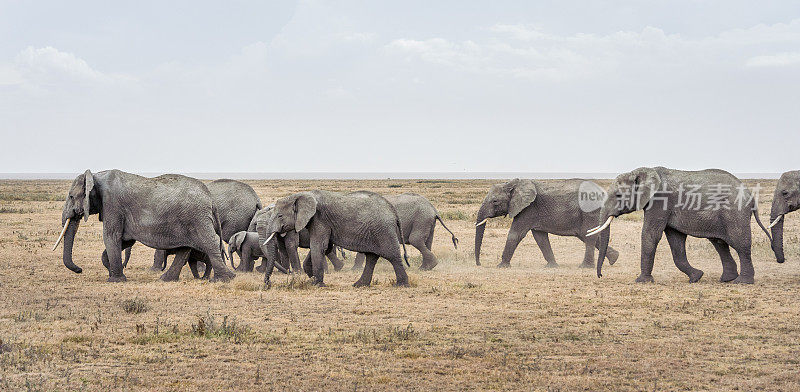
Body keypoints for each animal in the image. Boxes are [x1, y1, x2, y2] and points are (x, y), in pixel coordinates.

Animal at [52, 168, 234, 282]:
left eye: (71, 196)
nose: (80, 269)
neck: (96, 175)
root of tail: (210, 198)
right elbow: (125, 241)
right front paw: (112, 270)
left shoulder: (112, 204)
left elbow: (111, 236)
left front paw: (115, 280)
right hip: (189, 219)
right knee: (184, 248)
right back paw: (166, 280)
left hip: (197, 217)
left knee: (208, 242)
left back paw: (223, 280)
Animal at [262, 191, 410, 286]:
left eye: (280, 216)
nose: (267, 284)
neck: (301, 195)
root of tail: (393, 210)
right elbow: (325, 248)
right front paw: (311, 276)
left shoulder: (319, 219)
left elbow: (318, 246)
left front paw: (317, 284)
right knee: (371, 257)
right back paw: (359, 285)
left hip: (383, 231)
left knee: (392, 255)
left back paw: (401, 285)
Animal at [472, 178, 620, 268]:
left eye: (495, 201)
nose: (479, 264)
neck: (513, 184)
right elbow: (540, 237)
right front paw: (552, 266)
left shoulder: (528, 209)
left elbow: (515, 234)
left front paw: (501, 266)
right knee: (586, 235)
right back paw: (614, 259)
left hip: (590, 210)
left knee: (588, 235)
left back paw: (585, 267)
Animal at [592, 167, 772, 284]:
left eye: (618, 195)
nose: (600, 276)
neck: (643, 171)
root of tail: (751, 196)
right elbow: (675, 241)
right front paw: (696, 277)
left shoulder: (660, 201)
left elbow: (651, 235)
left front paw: (641, 281)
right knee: (720, 244)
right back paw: (727, 279)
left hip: (735, 213)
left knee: (740, 244)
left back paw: (742, 282)